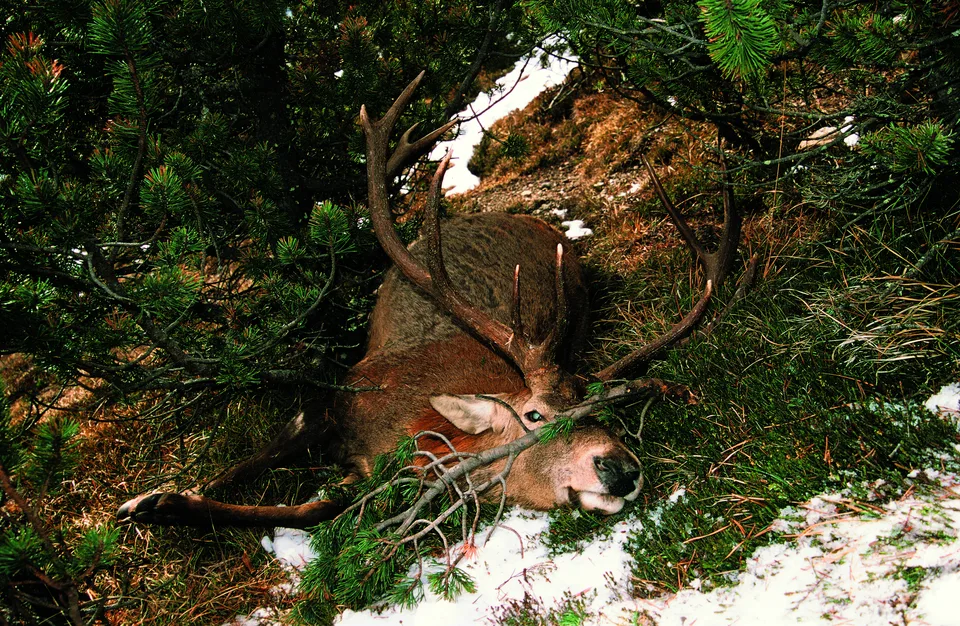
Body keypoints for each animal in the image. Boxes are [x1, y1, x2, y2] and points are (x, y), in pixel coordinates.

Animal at [117, 72, 741, 529]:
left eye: (607, 411)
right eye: (534, 414)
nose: (620, 469)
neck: (416, 433)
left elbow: (317, 507)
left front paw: (167, 503)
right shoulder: (345, 393)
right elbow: (265, 454)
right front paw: (154, 499)